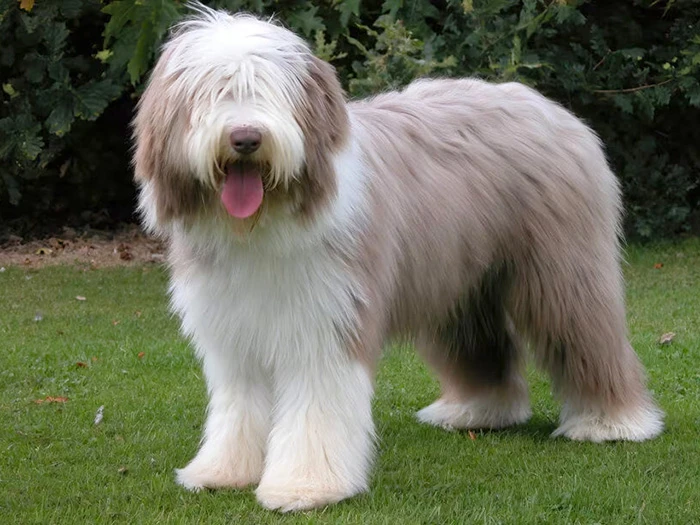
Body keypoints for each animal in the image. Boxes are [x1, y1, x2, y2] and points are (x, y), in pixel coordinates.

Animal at [131, 4, 660, 512]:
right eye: (211, 93)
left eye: (269, 91)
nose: (245, 138)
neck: (261, 226)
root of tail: (548, 106)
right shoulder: (231, 331)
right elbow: (238, 407)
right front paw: (223, 472)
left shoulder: (329, 321)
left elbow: (316, 409)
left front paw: (306, 486)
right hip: (461, 281)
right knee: (480, 342)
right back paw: (476, 410)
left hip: (562, 271)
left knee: (586, 333)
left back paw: (612, 422)